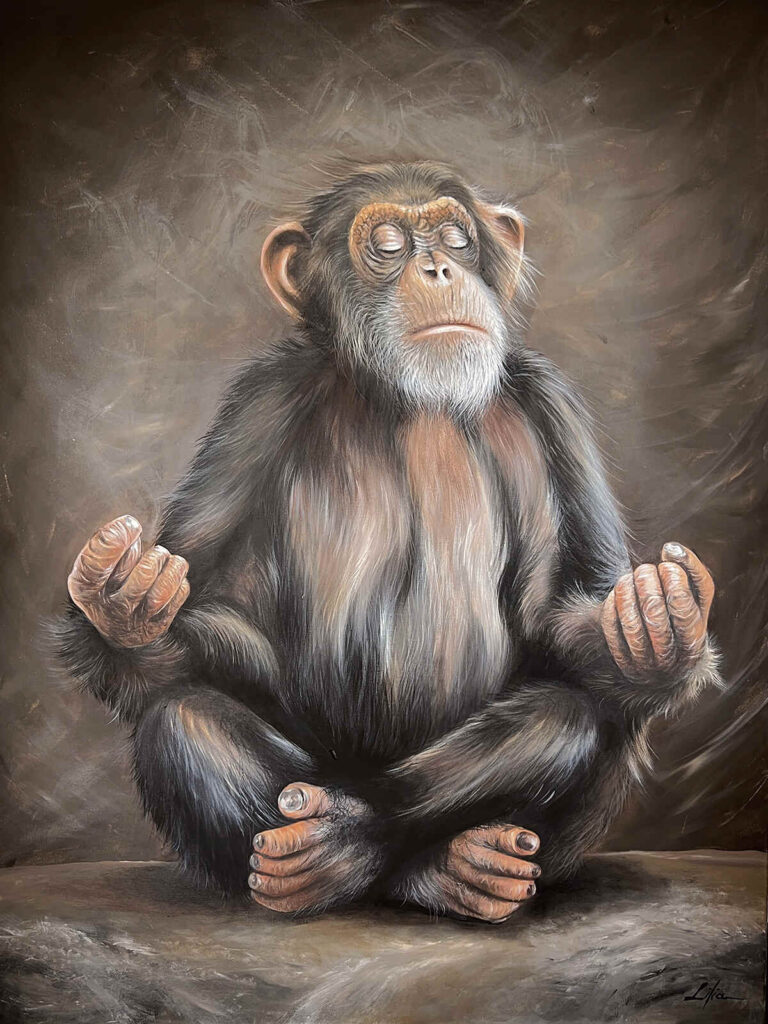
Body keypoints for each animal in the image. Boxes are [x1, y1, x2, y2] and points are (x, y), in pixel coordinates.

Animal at [54, 161, 721, 924]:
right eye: (389, 244)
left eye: (456, 237)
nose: (436, 268)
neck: (410, 394)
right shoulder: (257, 407)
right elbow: (210, 615)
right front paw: (126, 609)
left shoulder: (556, 407)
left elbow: (571, 614)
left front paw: (655, 629)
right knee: (182, 720)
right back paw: (334, 866)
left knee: (568, 717)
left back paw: (422, 858)